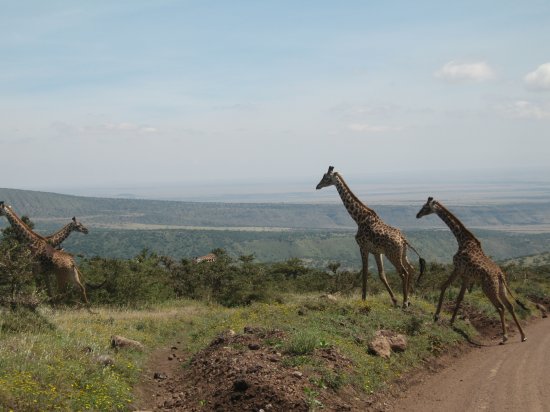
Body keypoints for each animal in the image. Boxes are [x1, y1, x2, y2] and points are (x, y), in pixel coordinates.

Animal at [314, 166, 426, 308]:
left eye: (326, 178)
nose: (318, 186)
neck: (359, 218)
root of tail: (403, 239)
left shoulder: (363, 247)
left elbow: (365, 272)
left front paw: (363, 298)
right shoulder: (377, 252)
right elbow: (381, 274)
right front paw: (394, 299)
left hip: (392, 254)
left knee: (403, 272)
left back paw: (405, 302)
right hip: (402, 254)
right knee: (411, 269)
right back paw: (408, 299)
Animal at [418, 198, 532, 342]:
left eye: (425, 207)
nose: (417, 215)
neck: (462, 240)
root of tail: (500, 275)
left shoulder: (458, 268)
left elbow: (444, 286)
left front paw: (437, 316)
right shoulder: (467, 276)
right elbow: (460, 298)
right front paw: (451, 321)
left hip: (488, 288)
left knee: (500, 307)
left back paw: (505, 336)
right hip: (501, 288)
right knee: (510, 306)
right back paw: (523, 335)